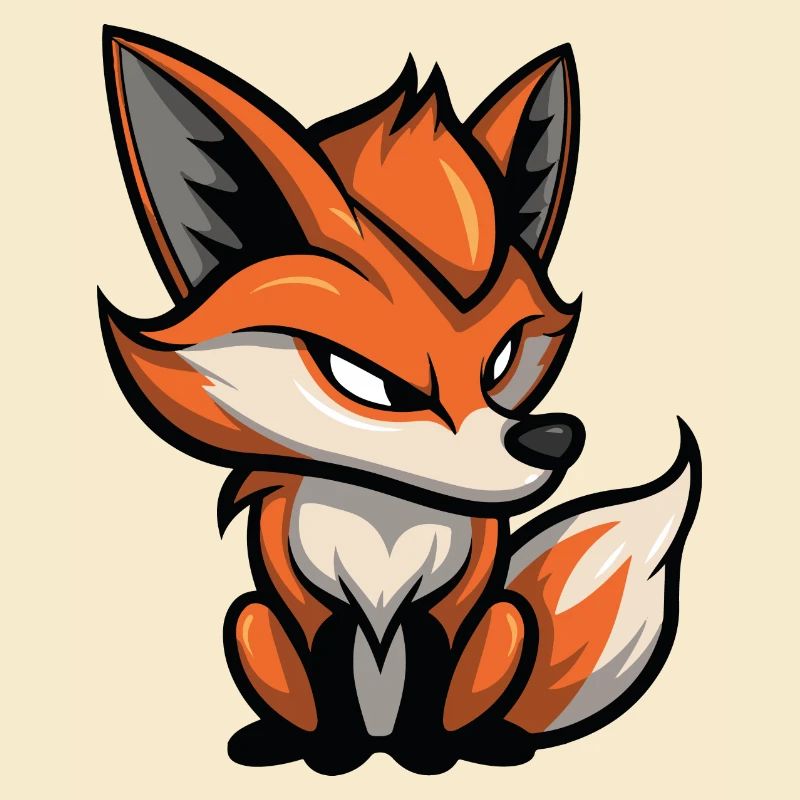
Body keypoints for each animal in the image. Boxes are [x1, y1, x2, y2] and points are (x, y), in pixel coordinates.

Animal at [99, 27, 701, 775]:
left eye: (502, 360)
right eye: (363, 379)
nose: (553, 438)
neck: (382, 516)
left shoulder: (446, 607)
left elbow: (429, 680)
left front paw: (426, 757)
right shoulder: (309, 607)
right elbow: (330, 673)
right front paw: (333, 757)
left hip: (506, 622)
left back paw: (486, 742)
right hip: (248, 620)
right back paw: (282, 741)